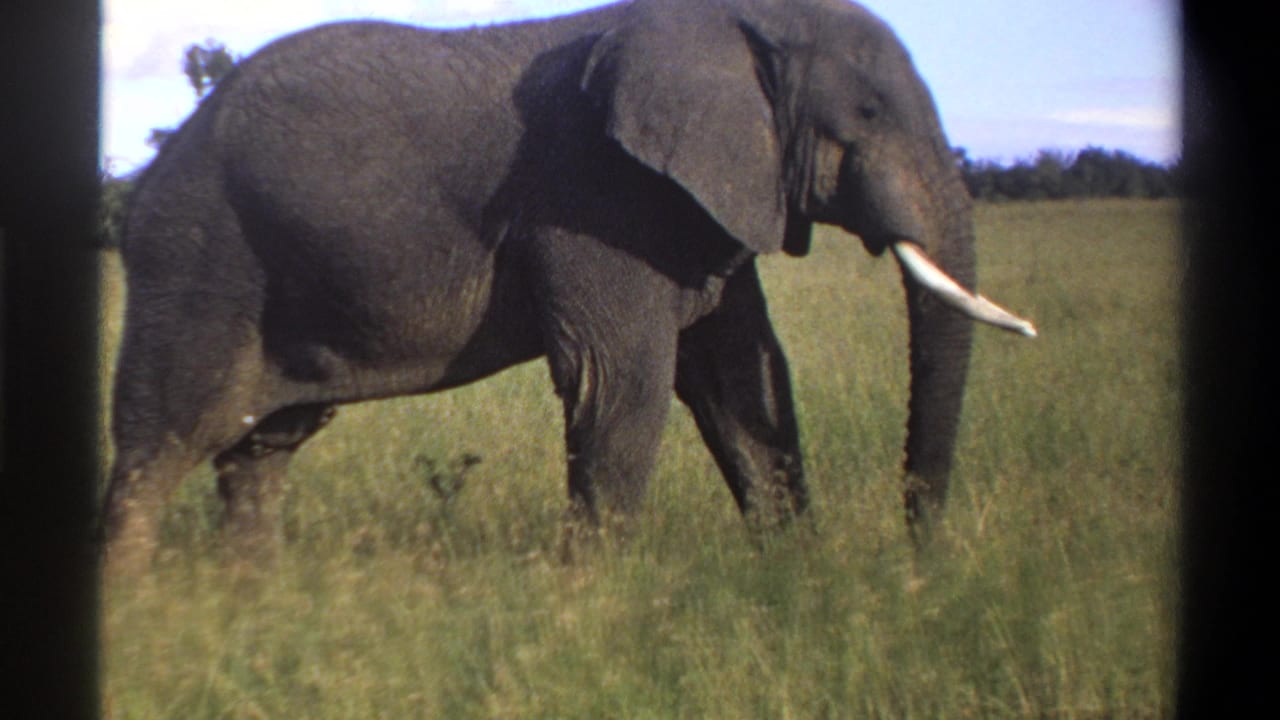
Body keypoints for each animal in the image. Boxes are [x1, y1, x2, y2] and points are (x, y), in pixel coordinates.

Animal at [101, 0, 1034, 573]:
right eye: (869, 113)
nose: (918, 563)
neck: (729, 22)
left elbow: (744, 376)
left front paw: (797, 574)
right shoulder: (595, 196)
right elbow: (621, 384)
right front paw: (595, 604)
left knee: (260, 451)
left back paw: (255, 597)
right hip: (199, 256)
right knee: (160, 445)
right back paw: (140, 614)